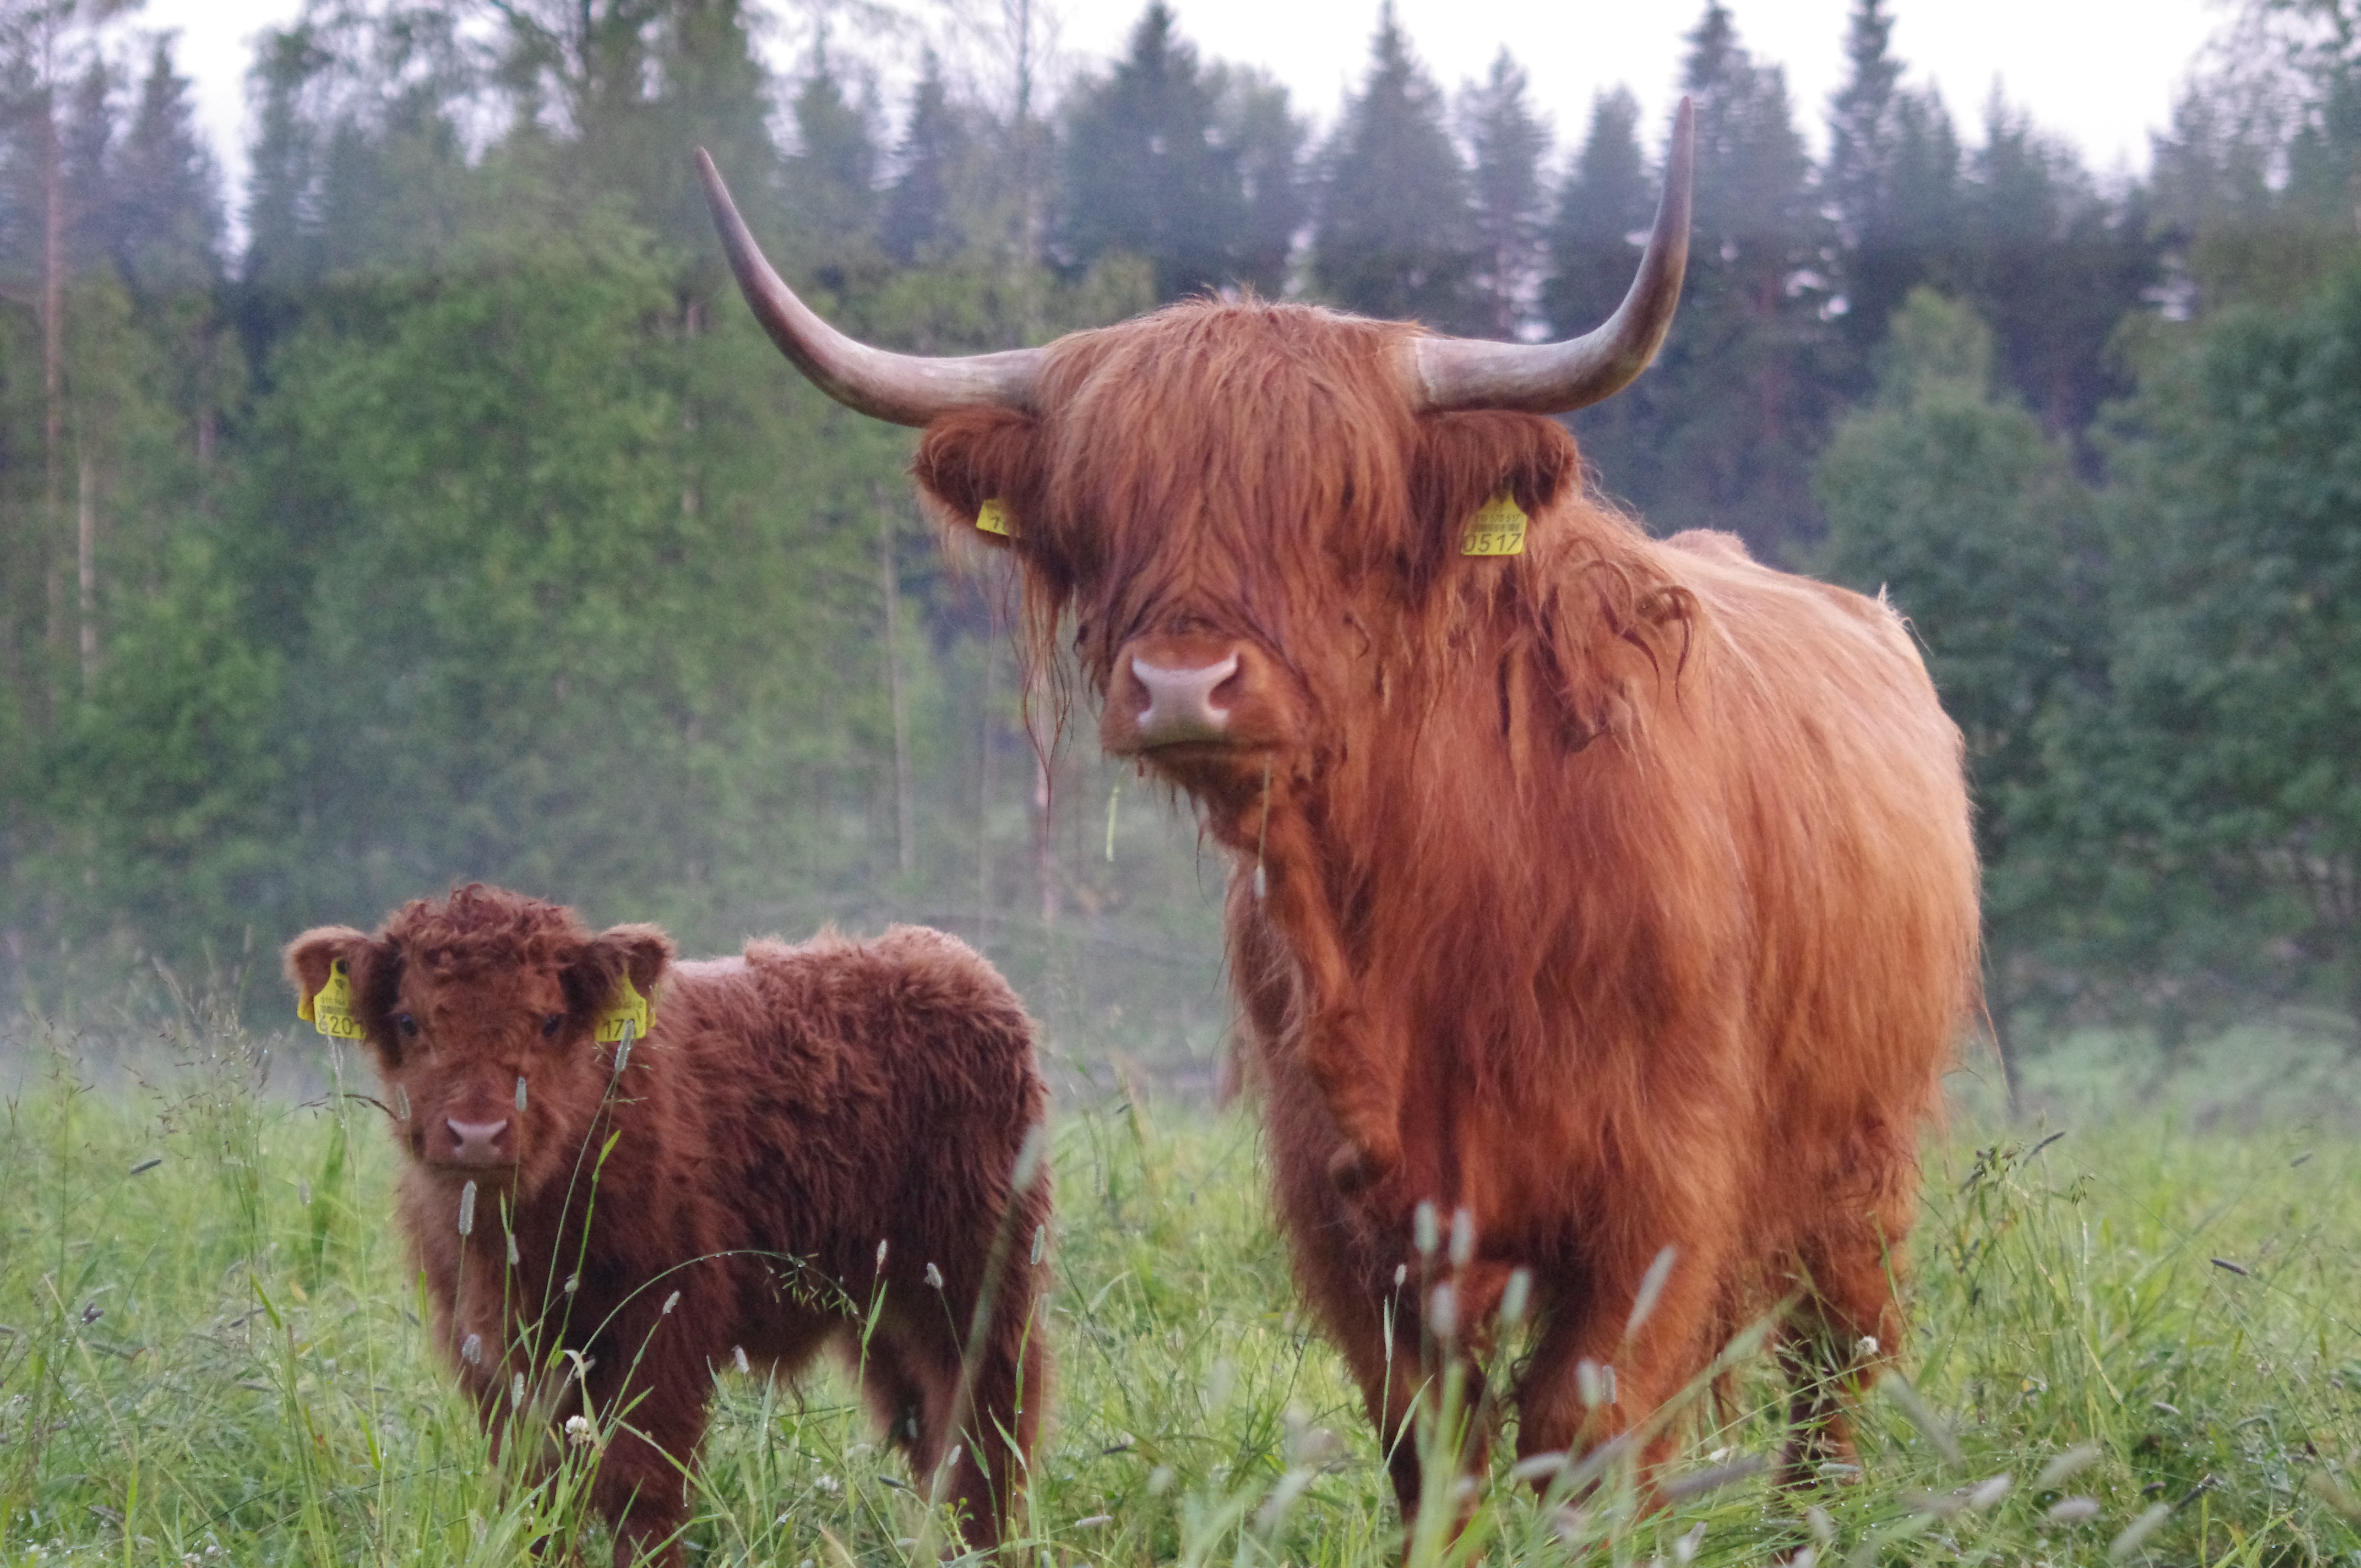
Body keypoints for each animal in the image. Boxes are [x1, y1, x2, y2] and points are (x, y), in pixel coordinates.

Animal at [283, 883, 1043, 1567]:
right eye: (411, 1021)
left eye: (549, 1020)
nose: (477, 1133)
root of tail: (949, 960)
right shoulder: (490, 1349)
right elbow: (533, 1489)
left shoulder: (663, 1326)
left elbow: (638, 1486)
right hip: (883, 1310)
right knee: (929, 1435)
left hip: (977, 1287)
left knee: (987, 1432)